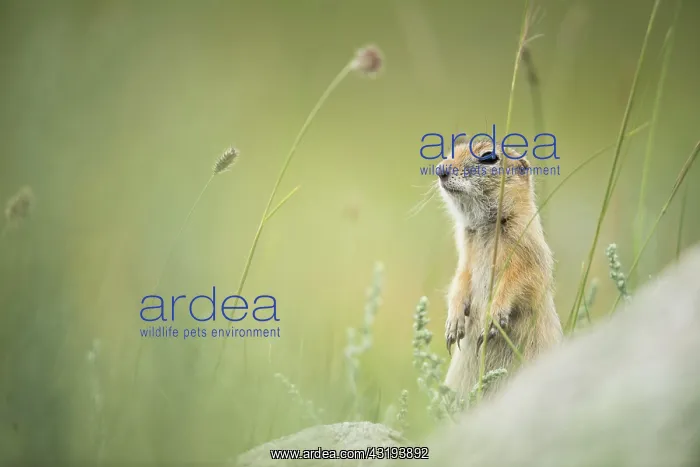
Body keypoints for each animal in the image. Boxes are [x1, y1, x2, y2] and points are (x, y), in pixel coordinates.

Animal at [436, 139, 563, 398]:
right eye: (452, 150)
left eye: (489, 157)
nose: (440, 169)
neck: (486, 226)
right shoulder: (466, 258)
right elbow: (460, 280)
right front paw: (453, 325)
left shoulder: (527, 250)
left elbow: (521, 280)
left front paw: (493, 318)